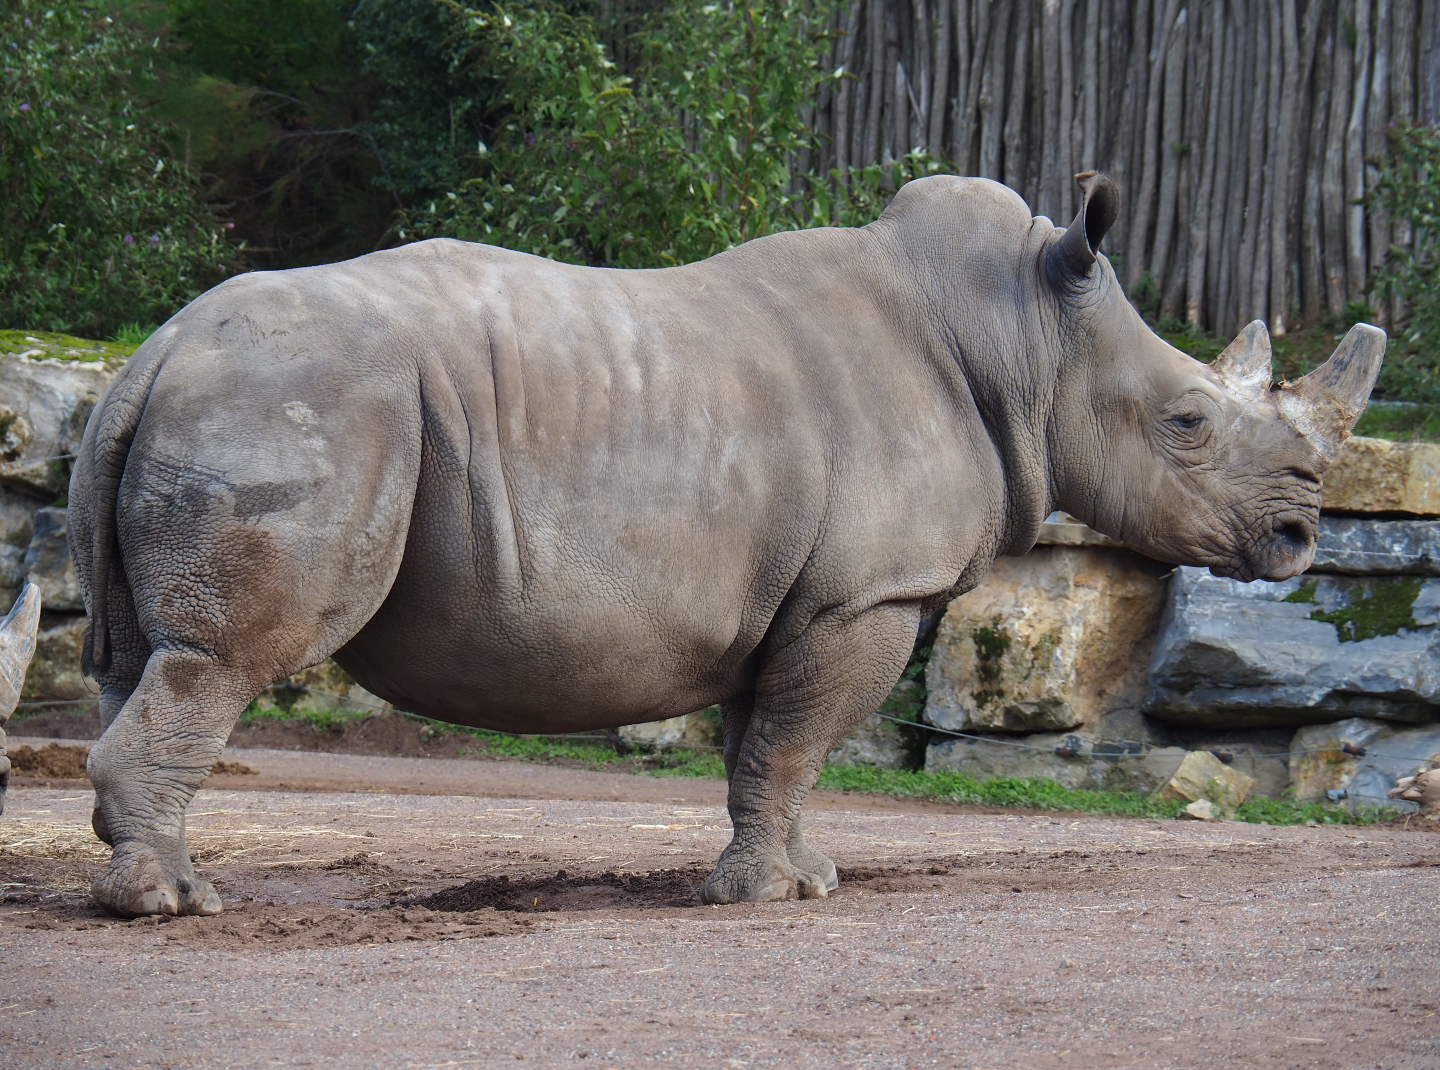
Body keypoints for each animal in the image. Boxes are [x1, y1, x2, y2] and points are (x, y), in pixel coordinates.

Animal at [61, 171, 1384, 917]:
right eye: (1188, 422)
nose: (1302, 532)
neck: (1027, 341)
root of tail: (154, 350)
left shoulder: (801, 594)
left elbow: (768, 750)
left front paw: (799, 878)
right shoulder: (867, 595)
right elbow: (798, 744)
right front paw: (765, 898)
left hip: (214, 405)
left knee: (140, 656)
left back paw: (158, 881)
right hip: (308, 402)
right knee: (229, 660)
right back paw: (175, 904)